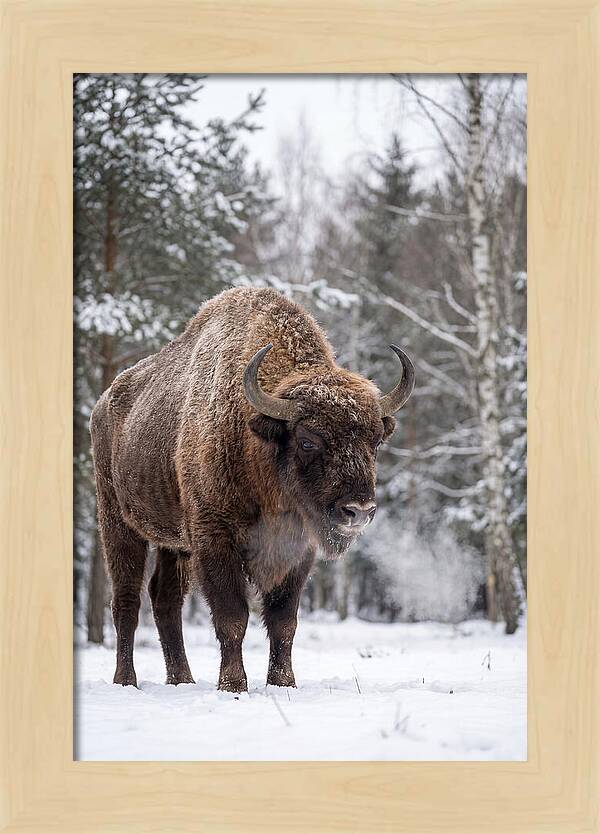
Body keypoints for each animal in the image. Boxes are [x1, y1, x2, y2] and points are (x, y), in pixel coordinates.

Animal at [90, 287, 414, 691]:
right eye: (308, 441)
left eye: (375, 442)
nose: (359, 511)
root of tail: (103, 404)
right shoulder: (214, 541)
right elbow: (233, 617)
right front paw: (233, 685)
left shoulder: (297, 551)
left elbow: (283, 621)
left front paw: (283, 683)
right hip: (118, 522)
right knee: (127, 601)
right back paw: (126, 681)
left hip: (173, 543)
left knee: (165, 600)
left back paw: (182, 680)